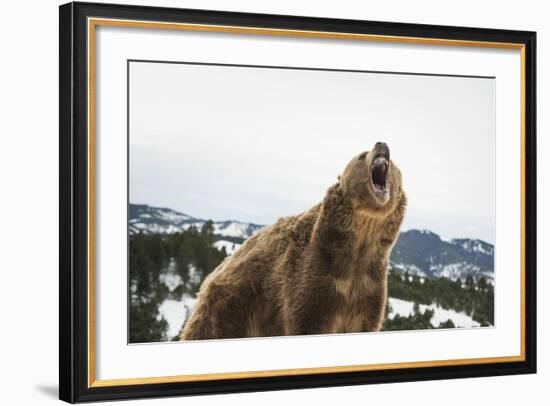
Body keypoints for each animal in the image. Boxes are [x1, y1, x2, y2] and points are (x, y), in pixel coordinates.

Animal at [180, 143, 406, 340]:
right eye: (362, 155)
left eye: (394, 163)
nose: (382, 145)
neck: (360, 242)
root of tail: (216, 271)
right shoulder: (312, 278)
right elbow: (307, 319)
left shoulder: (368, 287)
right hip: (231, 305)